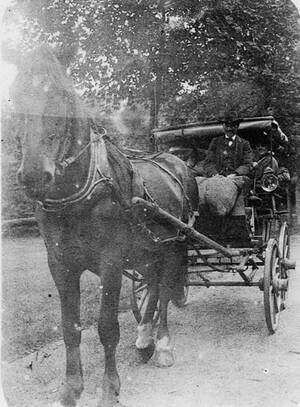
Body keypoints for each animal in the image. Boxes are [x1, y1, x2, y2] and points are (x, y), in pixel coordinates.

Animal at [11, 46, 199, 407]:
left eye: (61, 96)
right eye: (14, 97)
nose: (33, 175)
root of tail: (176, 162)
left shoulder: (110, 262)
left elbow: (107, 327)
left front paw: (109, 389)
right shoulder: (60, 264)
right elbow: (70, 328)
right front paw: (70, 389)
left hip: (174, 245)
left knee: (165, 293)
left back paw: (162, 345)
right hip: (148, 251)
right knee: (153, 288)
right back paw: (144, 339)